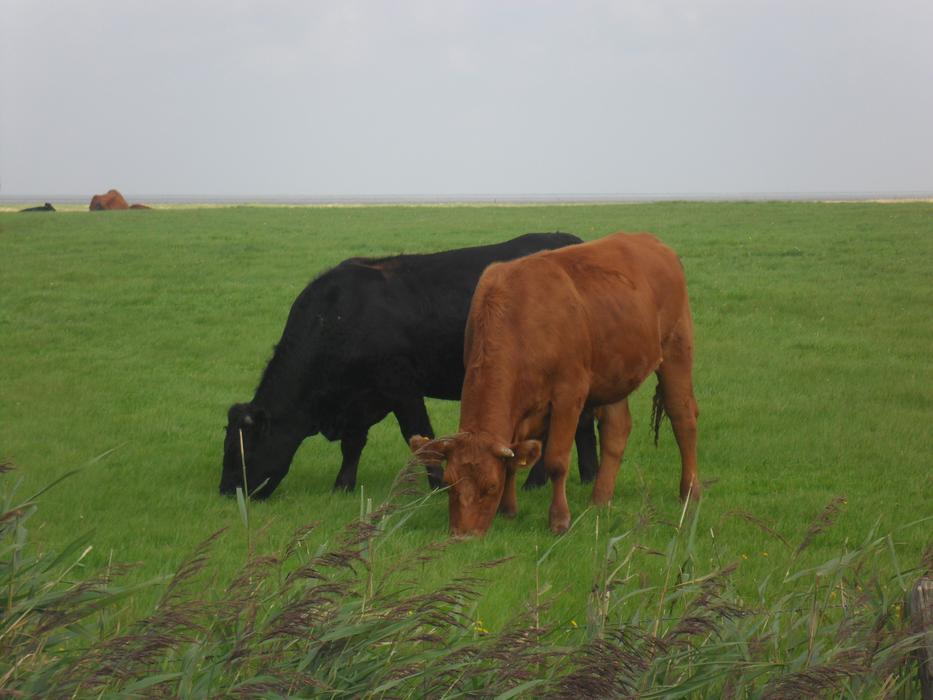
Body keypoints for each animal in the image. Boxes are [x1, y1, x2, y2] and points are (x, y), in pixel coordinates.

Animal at [219, 233, 598, 500]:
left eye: (240, 450)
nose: (226, 491)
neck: (338, 317)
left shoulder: (402, 387)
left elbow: (420, 435)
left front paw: (440, 485)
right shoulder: (359, 399)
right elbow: (353, 444)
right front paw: (342, 486)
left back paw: (567, 478)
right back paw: (574, 477)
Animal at [409, 232, 700, 536]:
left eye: (490, 487)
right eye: (449, 484)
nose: (463, 535)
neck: (520, 318)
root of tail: (652, 241)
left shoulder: (569, 395)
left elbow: (556, 461)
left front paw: (559, 520)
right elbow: (513, 459)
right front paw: (508, 510)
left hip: (677, 347)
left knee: (683, 419)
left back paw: (690, 492)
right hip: (615, 370)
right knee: (617, 430)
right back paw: (600, 499)